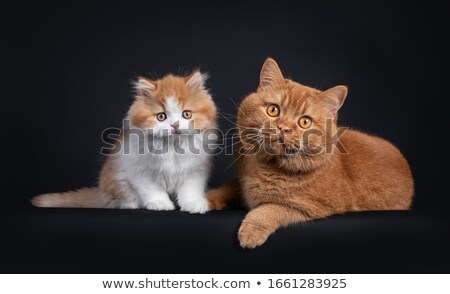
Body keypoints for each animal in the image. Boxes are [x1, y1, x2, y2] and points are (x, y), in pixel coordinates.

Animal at [209, 58, 414, 249]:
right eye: (273, 110)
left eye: (305, 122)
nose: (283, 128)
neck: (265, 166)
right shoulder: (240, 181)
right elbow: (226, 189)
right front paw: (205, 199)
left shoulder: (309, 207)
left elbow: (270, 209)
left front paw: (252, 230)